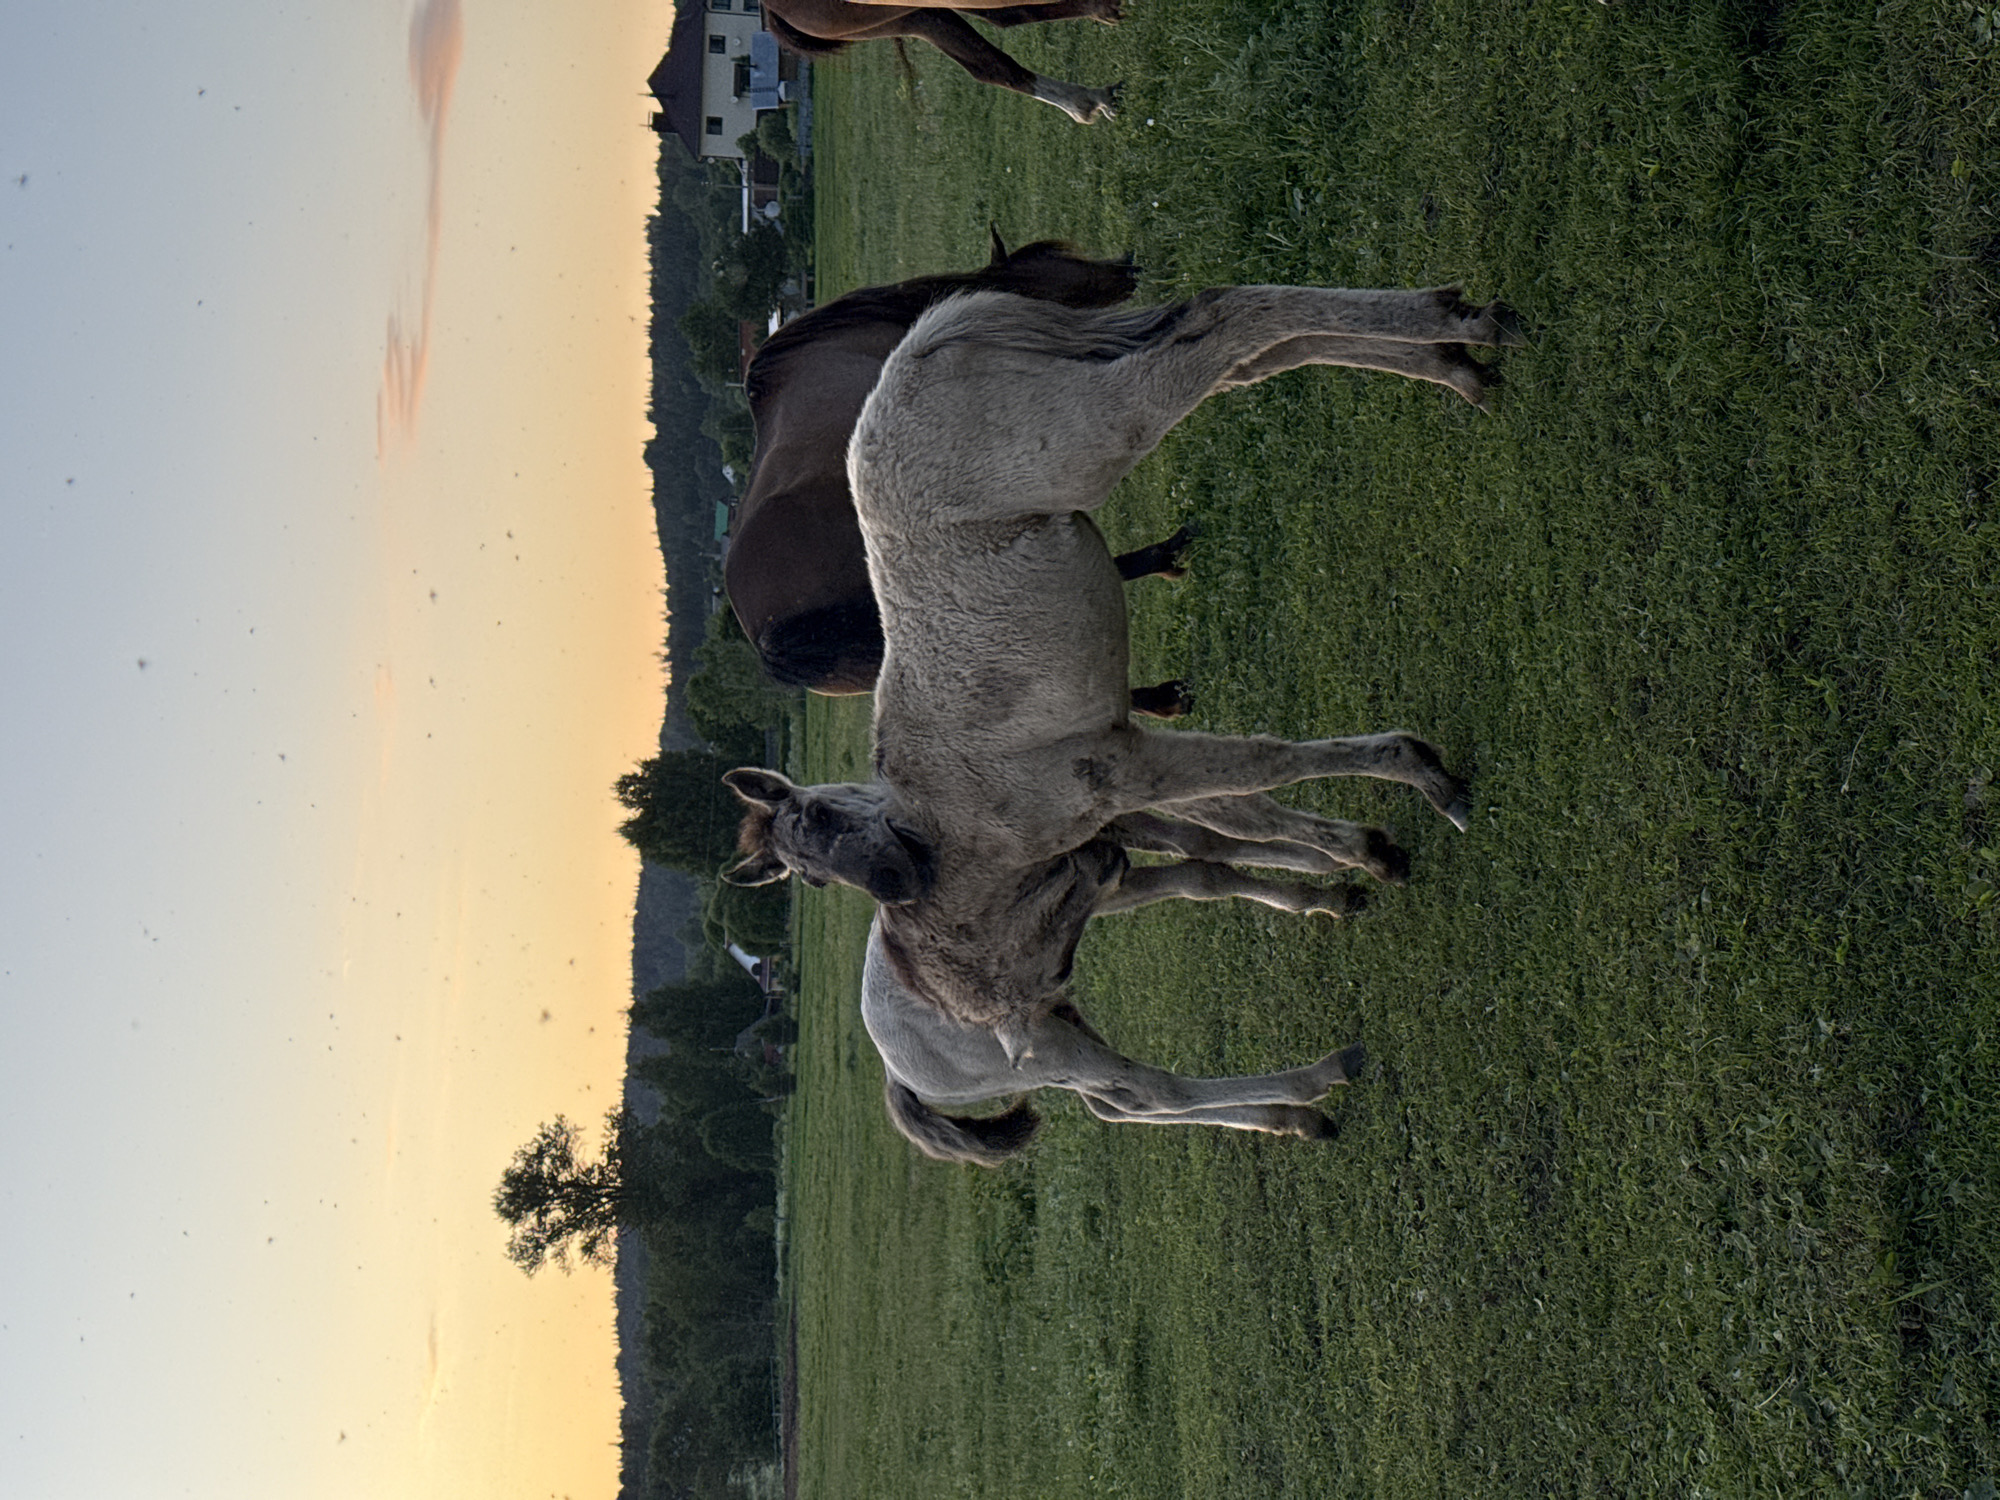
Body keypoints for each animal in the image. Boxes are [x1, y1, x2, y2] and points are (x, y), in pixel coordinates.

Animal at [725, 280, 1521, 1160]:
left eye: (821, 822)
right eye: (807, 872)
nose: (899, 885)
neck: (955, 828)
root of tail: (917, 349)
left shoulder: (1123, 777)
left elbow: (1264, 770)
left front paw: (1419, 782)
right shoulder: (1127, 775)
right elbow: (1248, 799)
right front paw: (1378, 836)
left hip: (1101, 427)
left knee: (1233, 325)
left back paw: (1460, 337)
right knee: (1236, 344)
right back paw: (1456, 354)